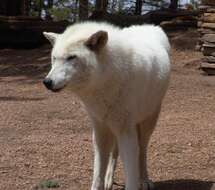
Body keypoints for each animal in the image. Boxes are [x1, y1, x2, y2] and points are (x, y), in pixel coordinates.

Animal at [43, 21, 170, 190]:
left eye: (71, 57)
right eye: (54, 58)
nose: (47, 82)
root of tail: (148, 25)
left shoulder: (126, 131)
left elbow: (131, 175)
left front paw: (136, 181)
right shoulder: (100, 129)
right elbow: (98, 174)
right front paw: (103, 181)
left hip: (148, 122)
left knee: (142, 151)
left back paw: (144, 180)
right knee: (115, 152)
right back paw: (109, 179)